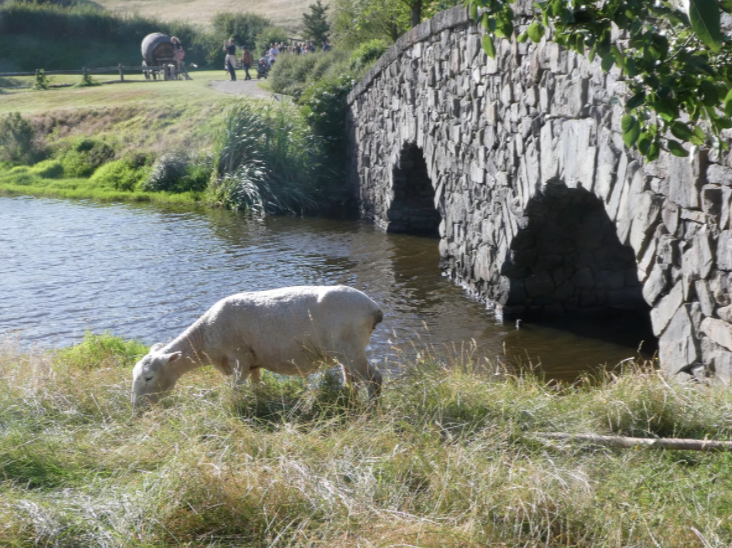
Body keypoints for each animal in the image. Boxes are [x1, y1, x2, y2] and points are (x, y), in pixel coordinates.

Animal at [131, 285, 384, 406]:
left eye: (148, 378)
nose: (137, 409)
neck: (204, 337)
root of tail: (374, 308)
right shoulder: (252, 363)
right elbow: (255, 386)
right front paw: (258, 400)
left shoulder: (239, 359)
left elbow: (235, 389)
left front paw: (233, 405)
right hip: (345, 351)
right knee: (351, 378)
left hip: (351, 348)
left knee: (374, 379)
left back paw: (372, 407)